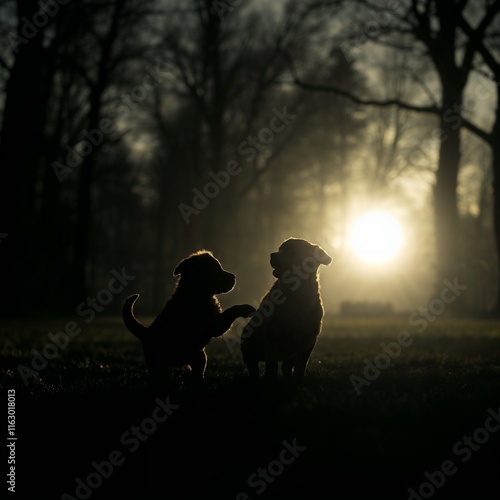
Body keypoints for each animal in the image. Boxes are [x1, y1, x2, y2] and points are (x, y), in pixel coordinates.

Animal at [121, 252, 254, 384]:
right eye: (215, 270)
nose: (234, 277)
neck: (196, 293)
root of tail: (146, 332)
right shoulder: (215, 324)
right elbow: (230, 312)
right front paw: (246, 308)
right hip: (159, 365)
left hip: (199, 356)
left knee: (197, 373)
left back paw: (203, 382)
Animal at [239, 238, 330, 382]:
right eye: (279, 249)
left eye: (290, 250)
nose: (272, 254)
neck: (297, 295)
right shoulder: (272, 334)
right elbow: (271, 364)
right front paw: (270, 378)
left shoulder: (310, 339)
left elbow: (301, 365)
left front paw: (298, 379)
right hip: (247, 339)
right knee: (253, 365)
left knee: (286, 366)